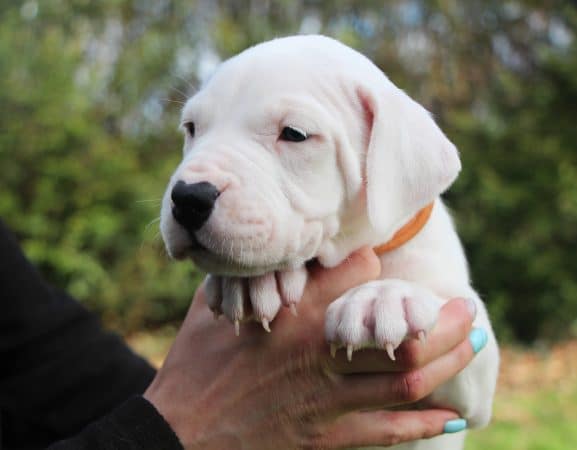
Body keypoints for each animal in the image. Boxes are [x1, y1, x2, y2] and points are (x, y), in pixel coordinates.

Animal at [160, 35, 498, 450]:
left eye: (294, 134)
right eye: (192, 127)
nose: (188, 197)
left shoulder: (469, 387)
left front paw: (383, 296)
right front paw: (253, 280)